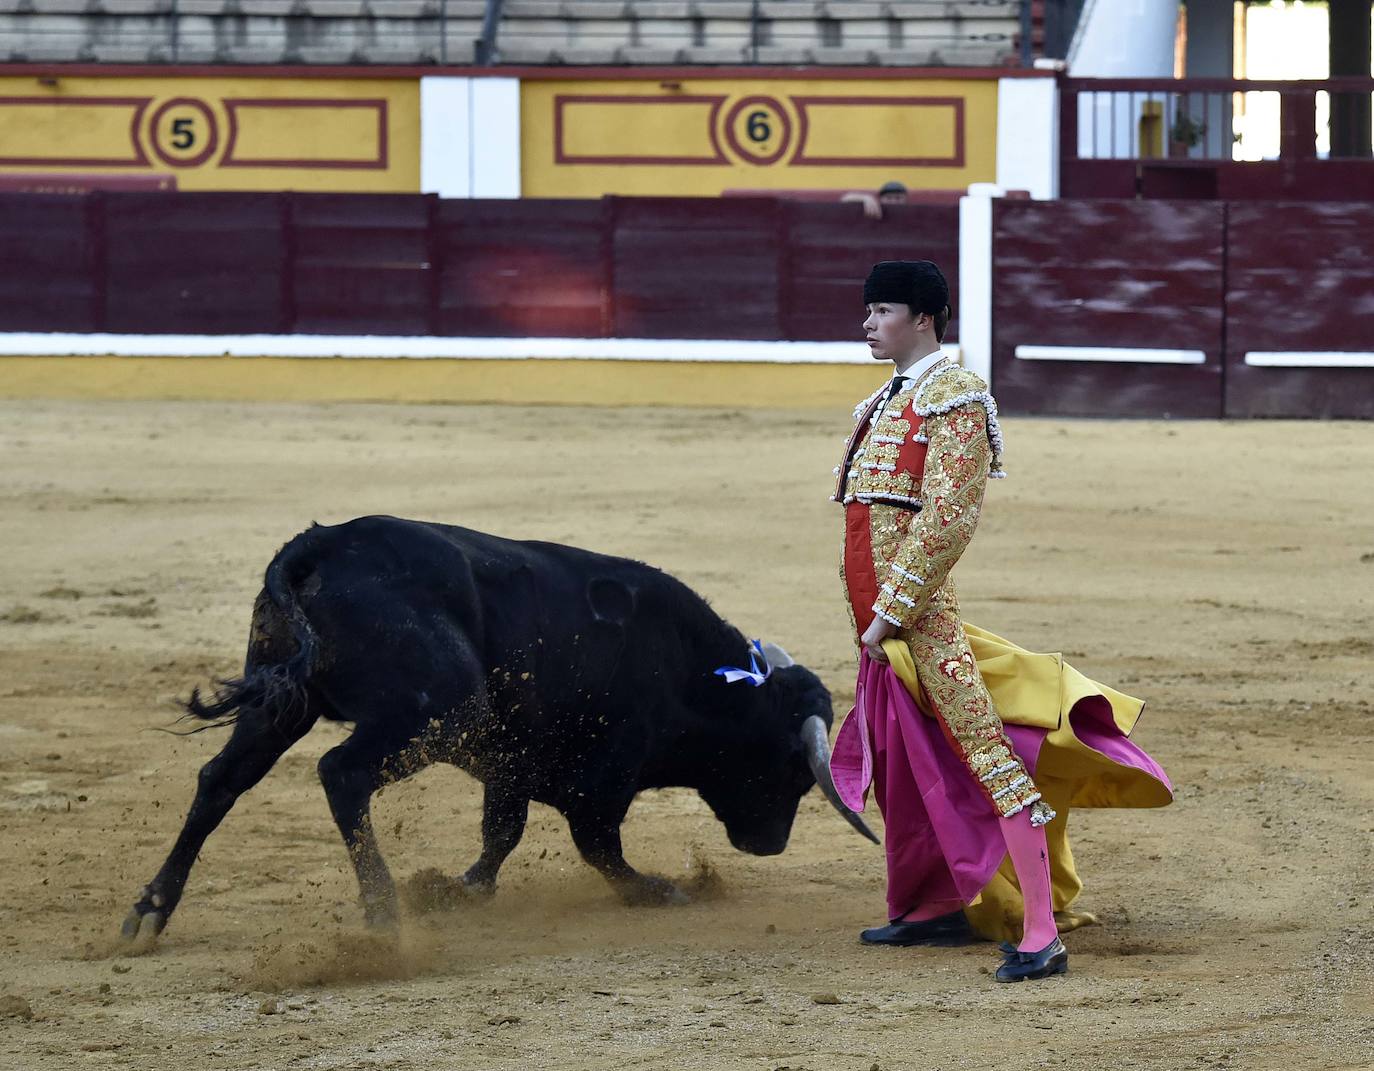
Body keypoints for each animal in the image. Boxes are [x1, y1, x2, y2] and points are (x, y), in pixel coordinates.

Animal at [118, 519, 873, 945]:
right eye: (793, 770)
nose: (771, 844)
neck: (688, 672)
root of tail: (316, 548)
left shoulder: (511, 768)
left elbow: (500, 836)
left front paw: (453, 890)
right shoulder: (604, 776)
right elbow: (597, 846)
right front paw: (656, 889)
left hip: (282, 704)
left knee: (220, 780)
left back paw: (150, 910)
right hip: (437, 708)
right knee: (341, 772)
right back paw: (383, 913)